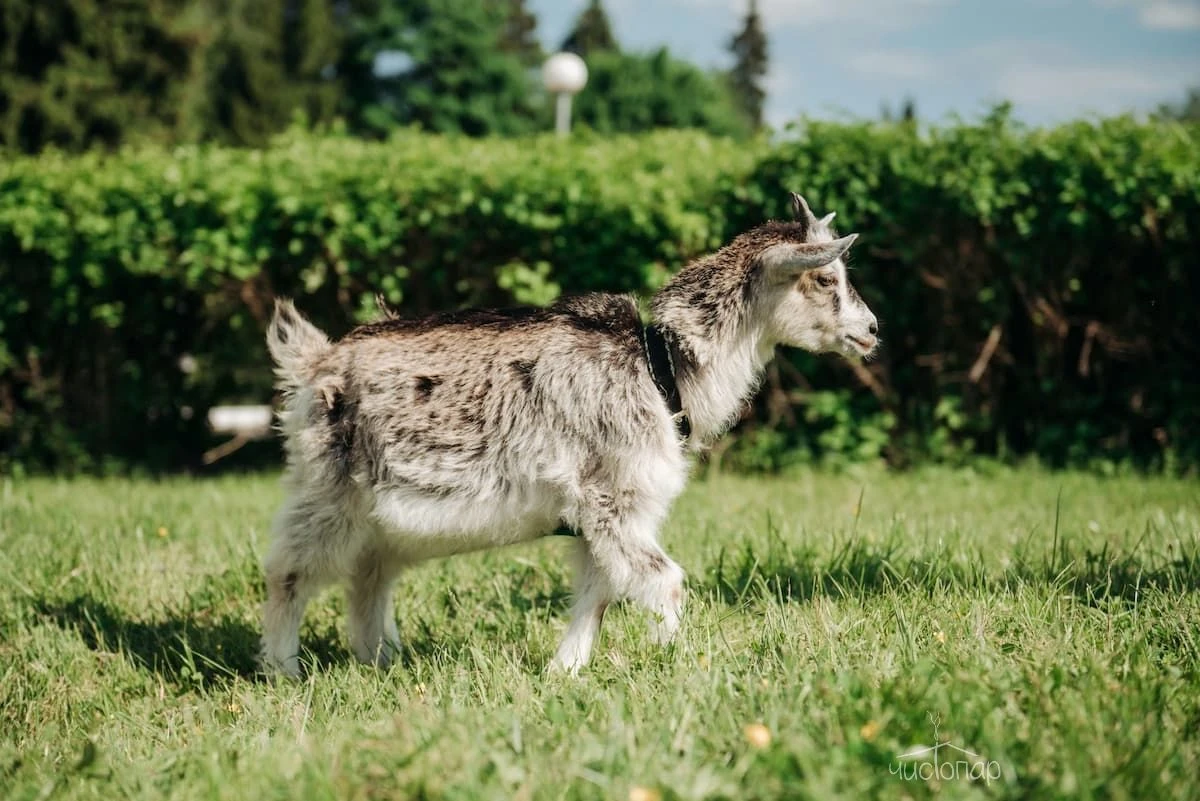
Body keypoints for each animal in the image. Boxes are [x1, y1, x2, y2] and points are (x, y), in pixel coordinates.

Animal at [262, 191, 878, 676]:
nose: (871, 330)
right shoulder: (611, 499)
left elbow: (599, 592)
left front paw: (565, 671)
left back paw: (381, 662)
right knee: (288, 570)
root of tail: (313, 361)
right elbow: (665, 580)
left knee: (368, 575)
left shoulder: (603, 515)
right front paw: (676, 661)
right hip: (329, 491)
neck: (660, 368)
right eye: (826, 277)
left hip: (385, 520)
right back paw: (282, 671)